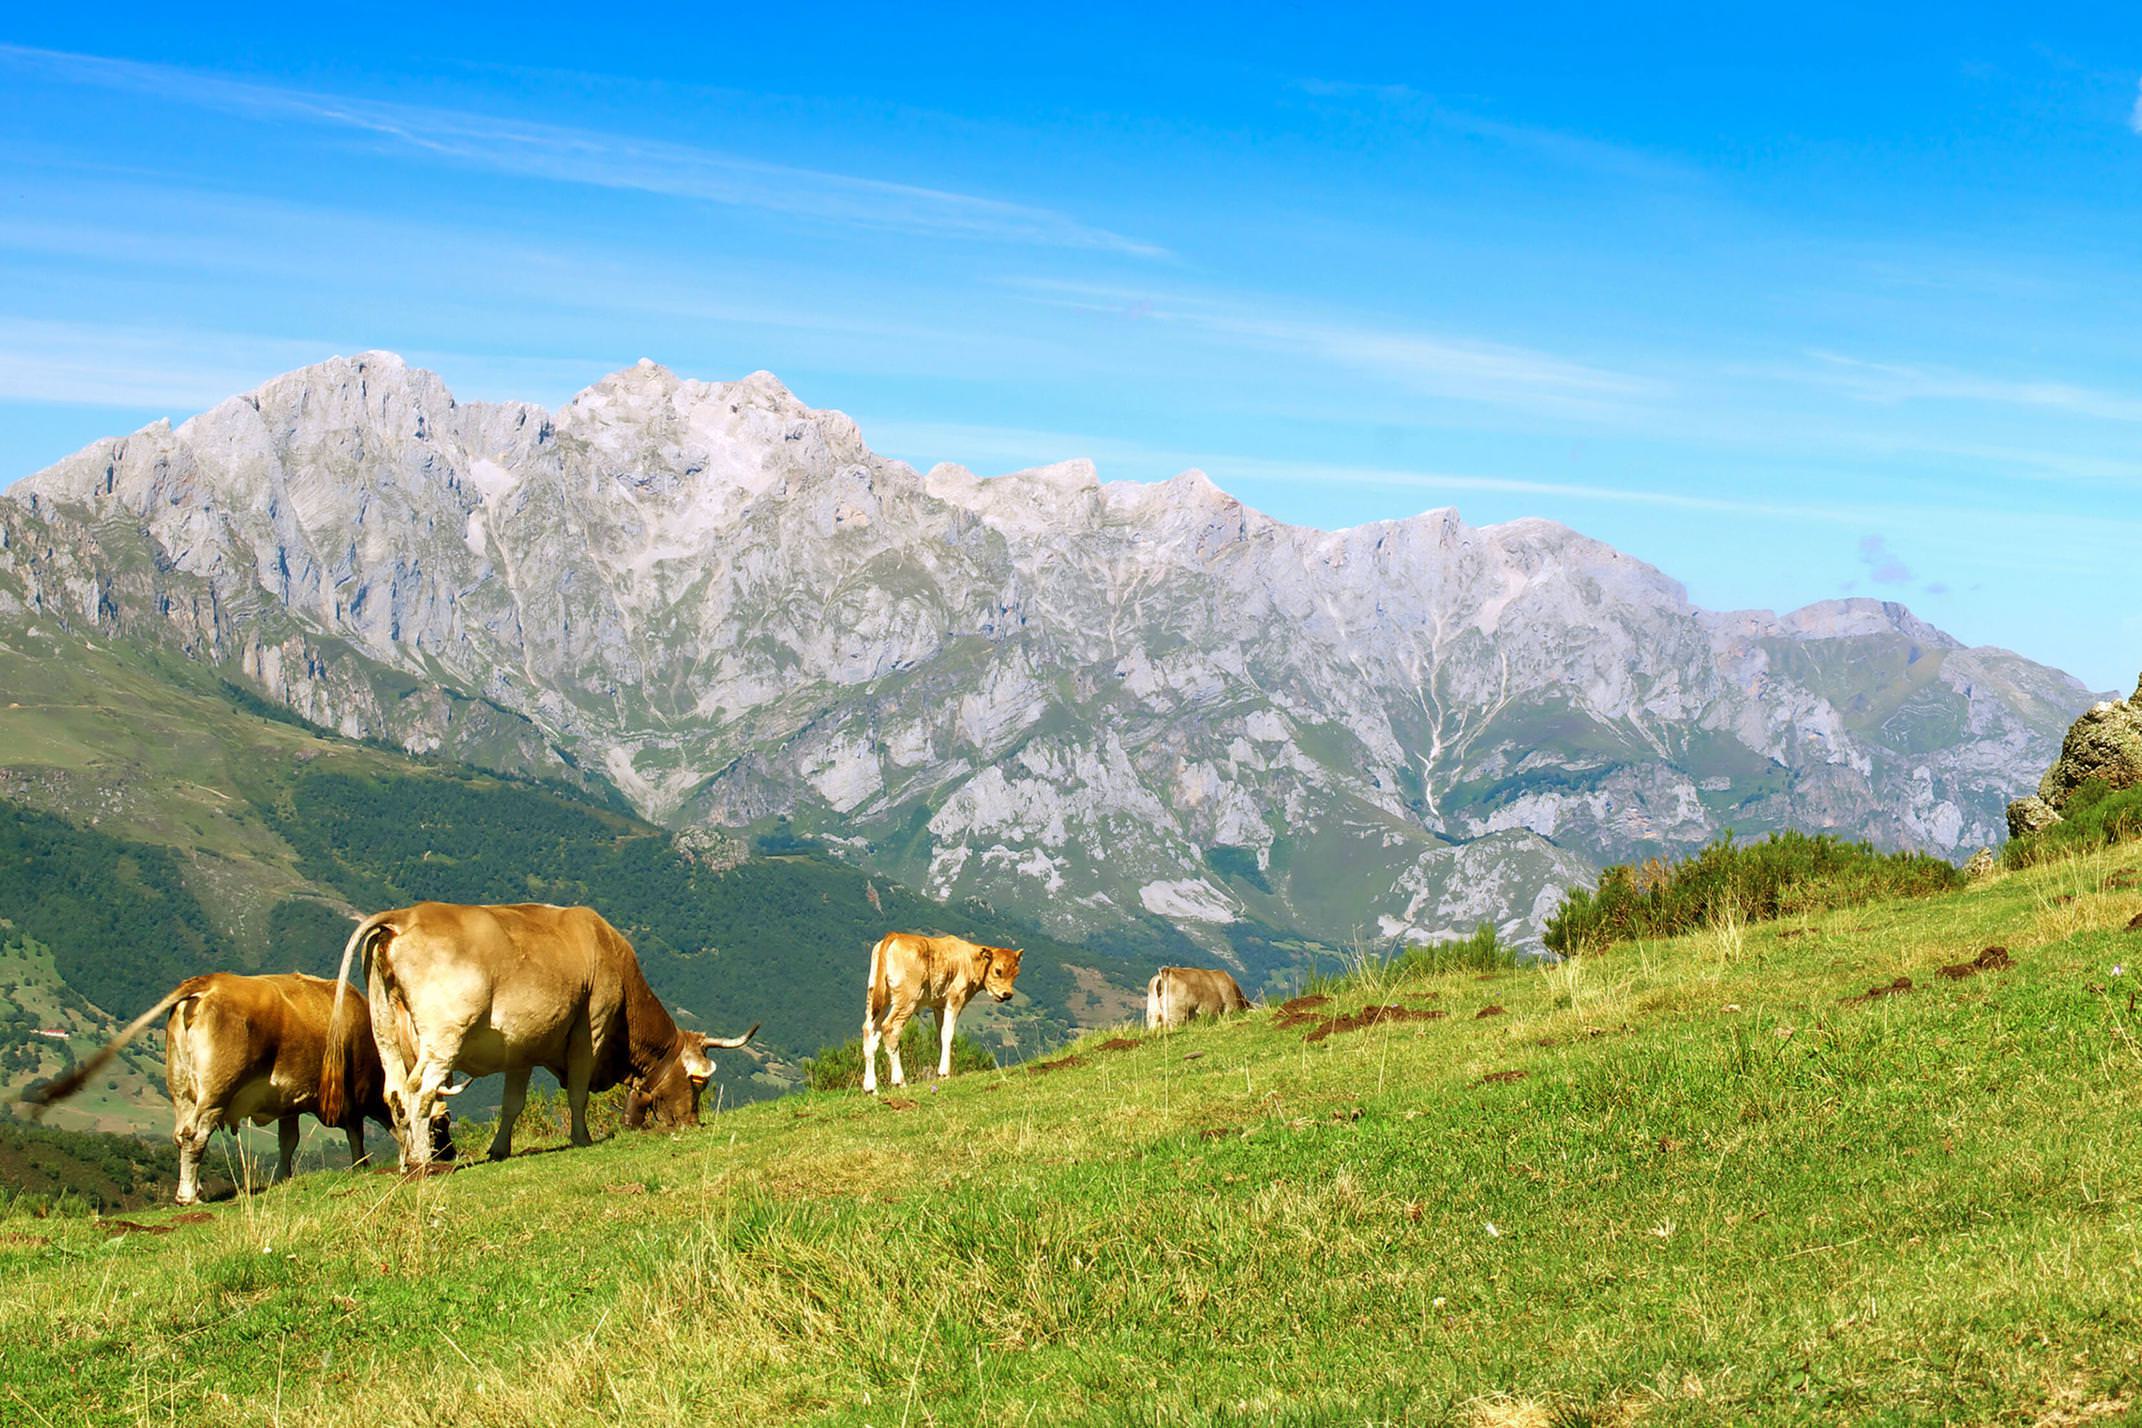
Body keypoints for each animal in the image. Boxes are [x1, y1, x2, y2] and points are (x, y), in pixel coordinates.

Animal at [24, 971, 447, 1207]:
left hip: (182, 1090)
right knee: (194, 1136)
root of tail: (204, 984)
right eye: (439, 1124)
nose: (449, 1154)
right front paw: (362, 1166)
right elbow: (356, 1133)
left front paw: (283, 1177)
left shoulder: (289, 1101)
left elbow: (288, 1142)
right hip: (216, 1091)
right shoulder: (353, 1095)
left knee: (180, 1134)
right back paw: (188, 1195)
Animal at [312, 903, 758, 1173]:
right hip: (442, 1038)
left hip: (385, 1032)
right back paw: (423, 1162)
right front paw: (582, 1138)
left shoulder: (521, 1047)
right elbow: (577, 1093)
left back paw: (406, 1161)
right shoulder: (590, 1029)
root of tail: (403, 916)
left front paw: (499, 1150)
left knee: (394, 1093)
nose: (692, 1123)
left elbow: (513, 1104)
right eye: (699, 1081)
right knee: (420, 1091)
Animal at [856, 937, 1023, 1096]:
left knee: (869, 1031)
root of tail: (893, 936)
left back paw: (871, 1088)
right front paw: (944, 1073)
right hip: (907, 998)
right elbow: (948, 1033)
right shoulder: (955, 998)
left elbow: (940, 1035)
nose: (1007, 994)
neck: (969, 960)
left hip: (877, 996)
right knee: (890, 1027)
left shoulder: (938, 1006)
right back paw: (899, 1081)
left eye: (1017, 973)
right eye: (998, 970)